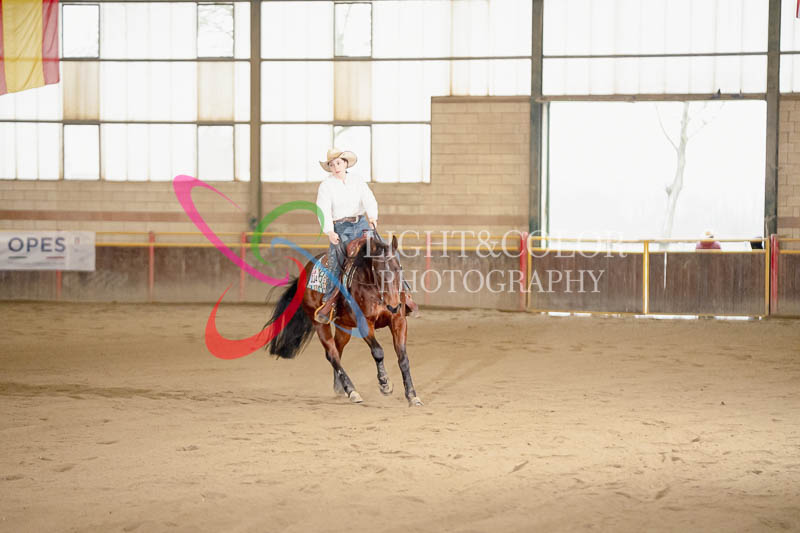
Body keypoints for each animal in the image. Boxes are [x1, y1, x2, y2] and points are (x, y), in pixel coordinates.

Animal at [265, 233, 423, 407]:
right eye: (378, 271)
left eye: (398, 268)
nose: (394, 306)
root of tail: (304, 272)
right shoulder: (364, 323)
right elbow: (378, 351)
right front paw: (385, 384)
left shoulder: (398, 320)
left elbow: (403, 358)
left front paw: (412, 396)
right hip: (319, 323)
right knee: (332, 354)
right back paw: (352, 391)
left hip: (344, 326)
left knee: (338, 349)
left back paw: (340, 387)